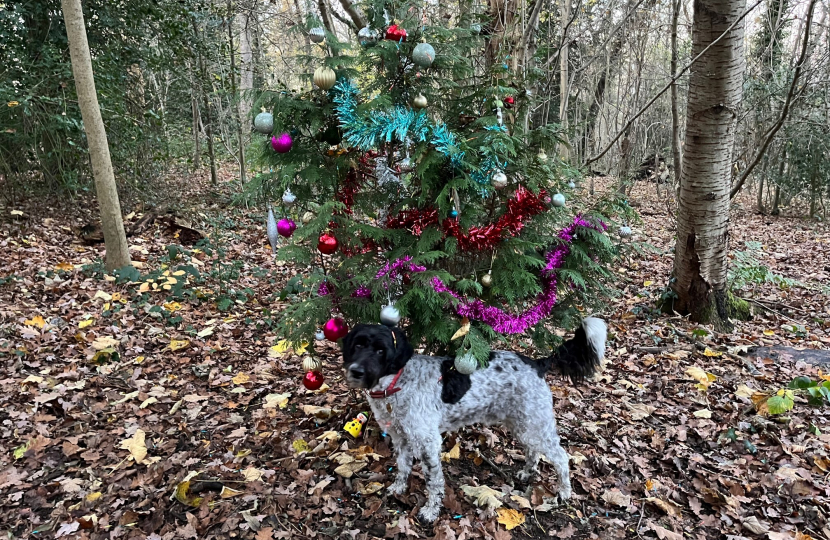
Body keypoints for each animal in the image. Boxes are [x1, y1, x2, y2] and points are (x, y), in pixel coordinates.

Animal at [342, 318, 608, 520]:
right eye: (358, 345)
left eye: (381, 350)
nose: (356, 371)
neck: (397, 382)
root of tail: (538, 363)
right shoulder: (401, 437)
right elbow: (403, 467)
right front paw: (398, 488)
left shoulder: (428, 443)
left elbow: (433, 482)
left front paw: (430, 512)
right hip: (522, 424)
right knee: (533, 451)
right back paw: (527, 473)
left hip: (535, 424)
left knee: (561, 457)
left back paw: (564, 492)